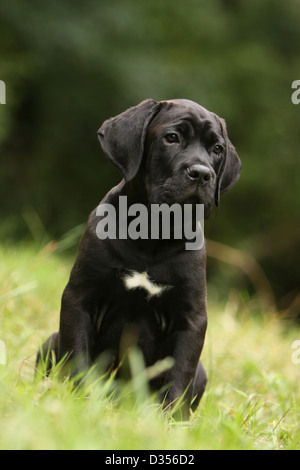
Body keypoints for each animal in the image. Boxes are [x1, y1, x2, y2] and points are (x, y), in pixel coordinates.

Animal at [37, 100, 240, 418]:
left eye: (217, 149)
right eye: (171, 138)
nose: (202, 173)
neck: (152, 233)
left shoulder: (191, 318)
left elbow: (179, 376)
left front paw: (169, 421)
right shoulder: (80, 298)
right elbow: (78, 357)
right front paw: (77, 403)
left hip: (202, 372)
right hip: (49, 343)